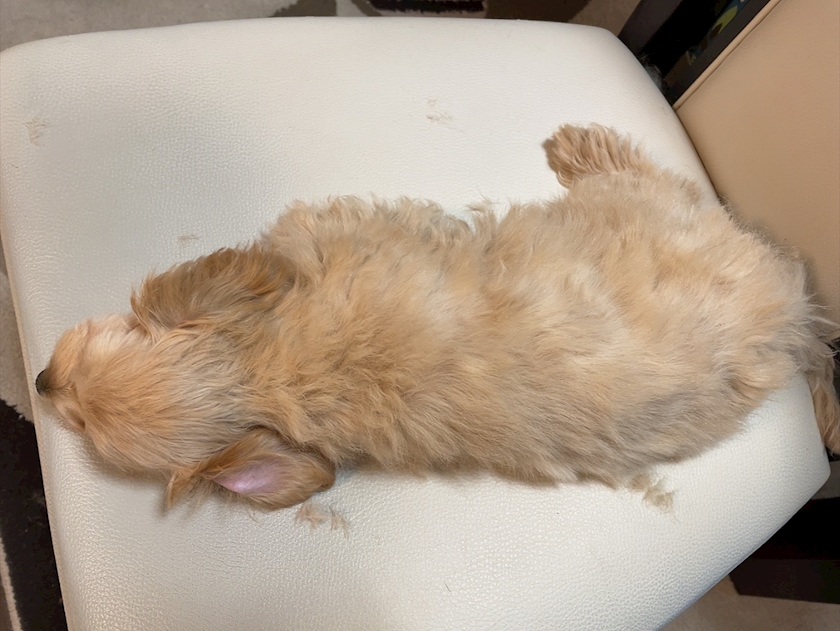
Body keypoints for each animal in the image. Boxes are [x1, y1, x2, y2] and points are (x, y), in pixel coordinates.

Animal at [36, 125, 840, 510]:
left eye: (88, 351)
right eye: (75, 414)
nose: (40, 382)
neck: (274, 370)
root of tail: (792, 314)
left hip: (654, 208)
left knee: (645, 173)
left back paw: (576, 142)